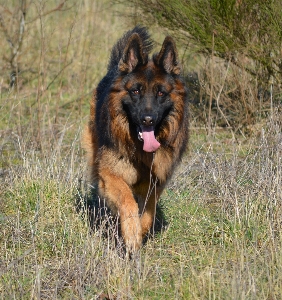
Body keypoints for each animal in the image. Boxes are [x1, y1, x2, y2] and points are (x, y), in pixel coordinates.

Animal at [83, 25, 189, 252]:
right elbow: (127, 201)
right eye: (136, 91)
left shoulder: (155, 182)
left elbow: (149, 212)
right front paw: (131, 235)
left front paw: (140, 232)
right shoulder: (111, 175)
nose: (147, 119)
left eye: (161, 93)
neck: (141, 151)